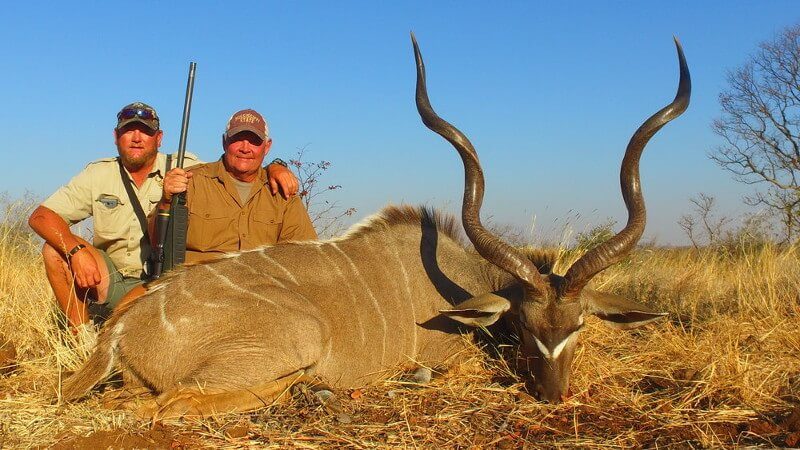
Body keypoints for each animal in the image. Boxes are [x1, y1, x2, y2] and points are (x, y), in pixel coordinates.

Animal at [62, 35, 690, 418]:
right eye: (526, 324)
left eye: (579, 325)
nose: (555, 397)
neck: (458, 281)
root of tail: (123, 330)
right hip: (298, 337)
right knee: (172, 404)